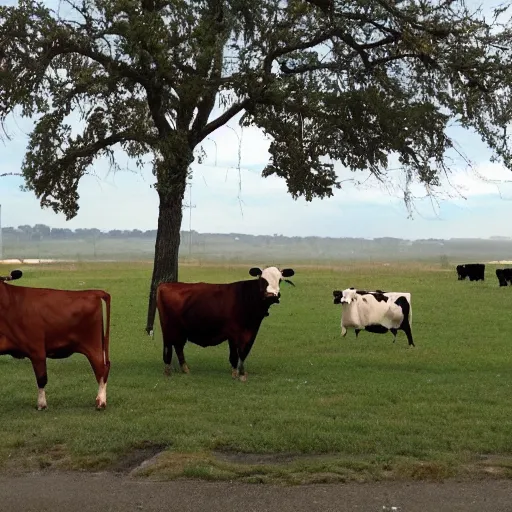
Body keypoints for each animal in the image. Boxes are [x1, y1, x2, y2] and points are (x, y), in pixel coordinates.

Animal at [0, 270, 111, 410]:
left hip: (93, 345)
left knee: (102, 369)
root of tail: (94, 292)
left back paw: (101, 401)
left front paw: (41, 404)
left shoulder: (37, 350)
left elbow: (41, 378)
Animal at [154, 268, 294, 380]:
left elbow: (244, 353)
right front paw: (235, 373)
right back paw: (168, 371)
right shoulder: (233, 333)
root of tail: (165, 285)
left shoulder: (251, 333)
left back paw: (185, 369)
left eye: (280, 280)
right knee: (169, 347)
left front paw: (242, 373)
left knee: (178, 347)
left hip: (181, 330)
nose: (272, 295)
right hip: (168, 328)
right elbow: (235, 354)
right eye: (262, 280)